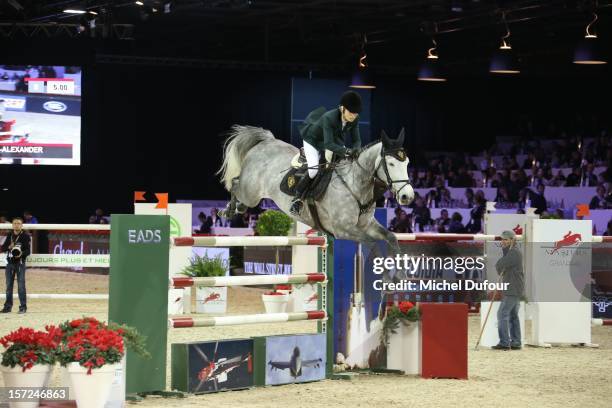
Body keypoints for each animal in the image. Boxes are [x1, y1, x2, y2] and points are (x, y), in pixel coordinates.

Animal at [218, 124, 414, 252]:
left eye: (407, 163)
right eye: (391, 164)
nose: (408, 196)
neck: (355, 185)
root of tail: (266, 142)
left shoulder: (367, 225)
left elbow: (391, 237)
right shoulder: (343, 229)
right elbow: (372, 243)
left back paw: (237, 207)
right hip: (250, 193)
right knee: (234, 184)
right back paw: (228, 210)